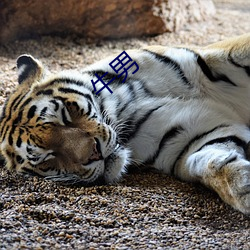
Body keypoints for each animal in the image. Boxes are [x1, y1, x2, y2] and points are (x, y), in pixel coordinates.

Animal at [0, 32, 250, 213]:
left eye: (65, 116)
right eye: (48, 157)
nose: (95, 153)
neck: (123, 106)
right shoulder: (187, 137)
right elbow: (210, 162)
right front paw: (243, 188)